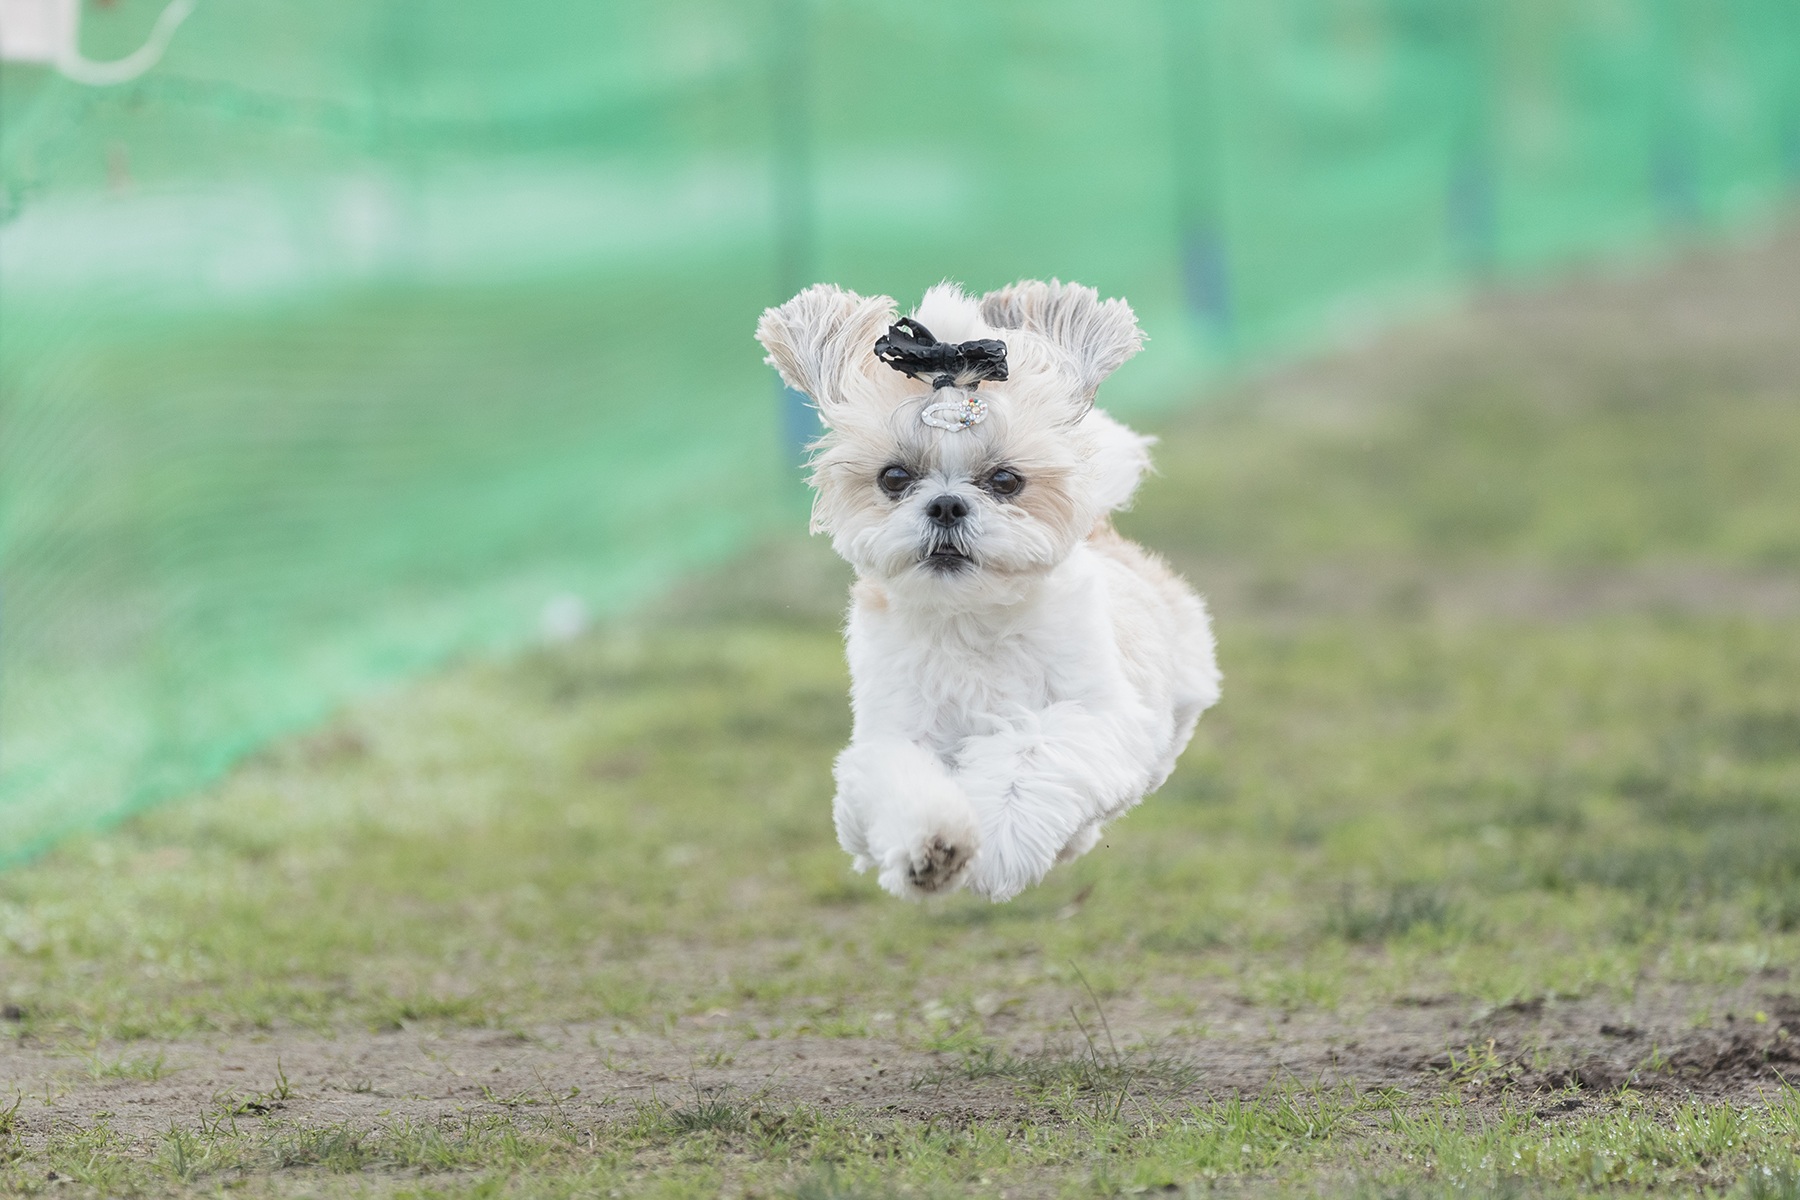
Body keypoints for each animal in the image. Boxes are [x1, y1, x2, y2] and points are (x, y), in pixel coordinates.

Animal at [752, 278, 1216, 899]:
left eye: (1005, 480)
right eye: (893, 477)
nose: (947, 504)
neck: (968, 620)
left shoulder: (1095, 716)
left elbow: (1028, 753)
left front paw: (999, 844)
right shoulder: (889, 740)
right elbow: (898, 782)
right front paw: (932, 849)